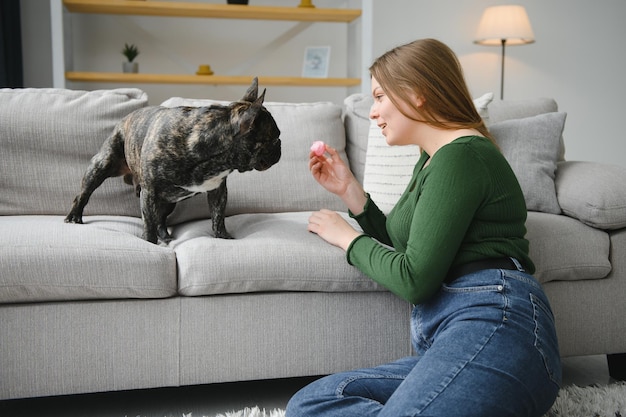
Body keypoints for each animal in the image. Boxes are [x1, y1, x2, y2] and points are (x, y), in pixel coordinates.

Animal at [64, 77, 280, 244]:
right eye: (275, 137)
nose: (280, 146)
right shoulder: (149, 192)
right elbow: (148, 221)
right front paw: (149, 242)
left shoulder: (217, 190)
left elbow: (218, 216)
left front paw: (222, 237)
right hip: (102, 164)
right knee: (84, 193)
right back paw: (74, 216)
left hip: (169, 200)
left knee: (161, 218)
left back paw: (166, 236)